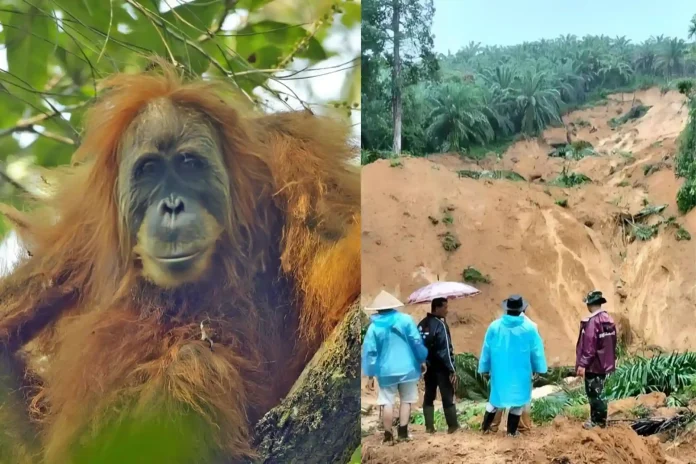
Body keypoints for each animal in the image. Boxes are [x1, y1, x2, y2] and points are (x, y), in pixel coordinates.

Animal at [0, 61, 360, 463]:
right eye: (150, 169)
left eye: (189, 164)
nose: (172, 206)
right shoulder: (81, 230)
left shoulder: (296, 155)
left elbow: (329, 270)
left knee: (192, 364)